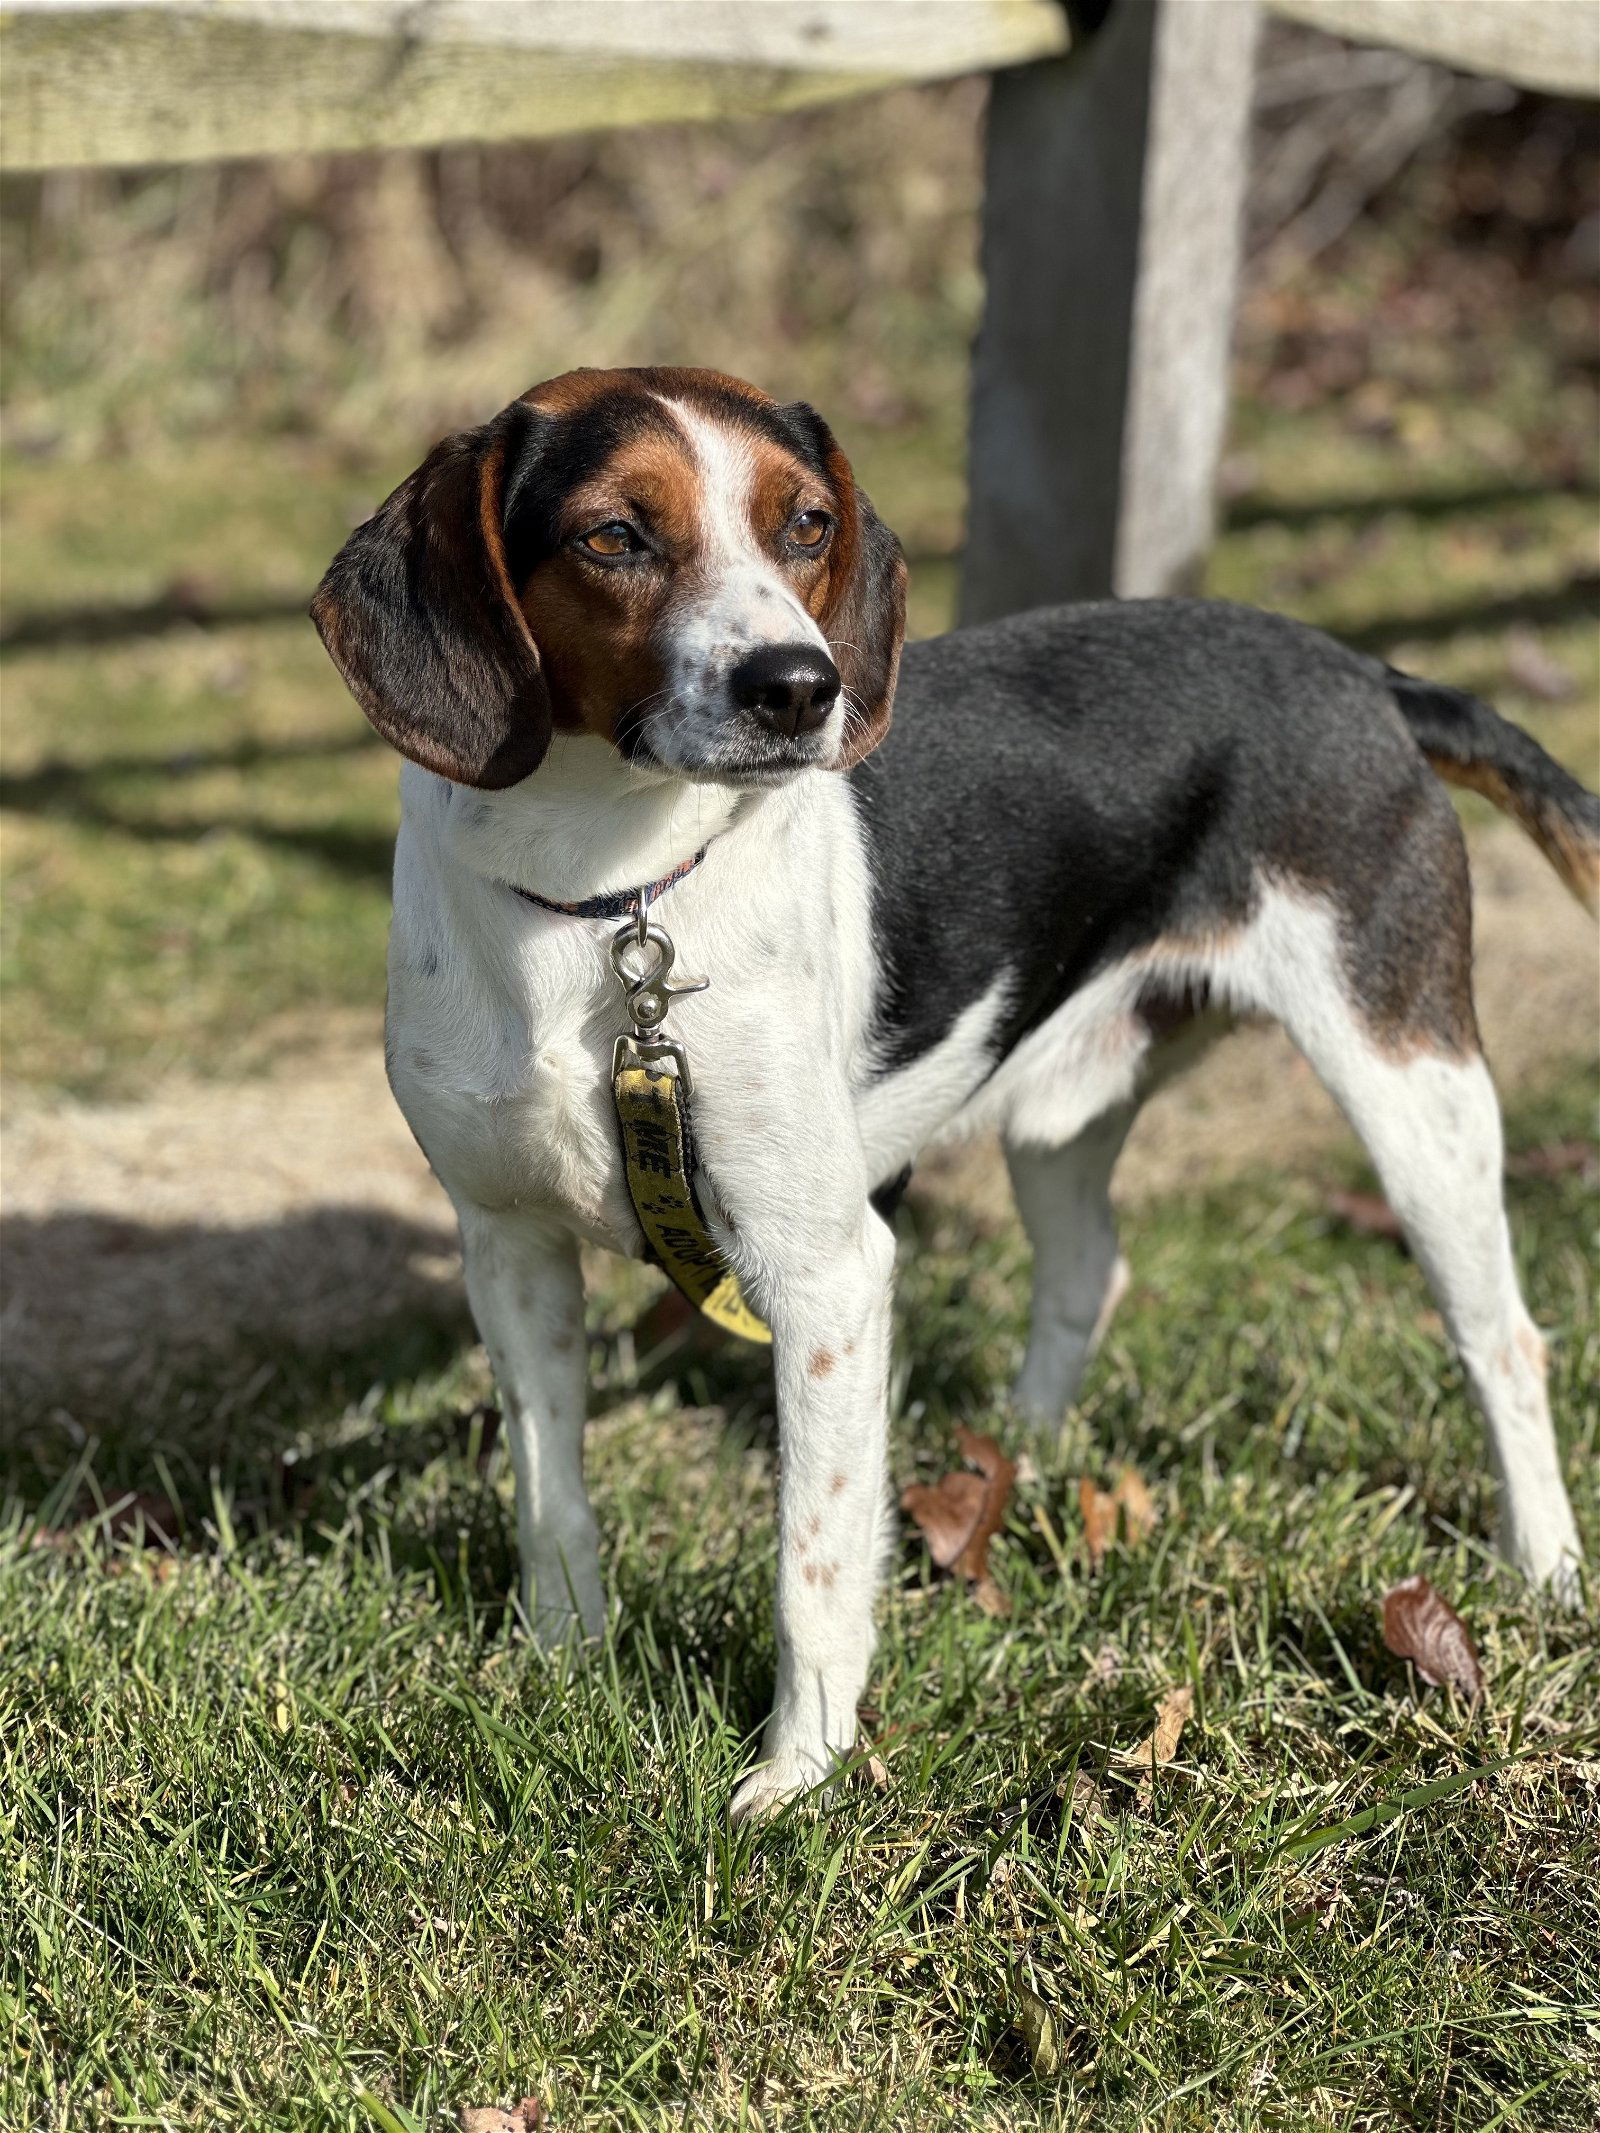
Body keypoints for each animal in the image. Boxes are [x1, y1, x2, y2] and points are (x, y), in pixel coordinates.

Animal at [315, 362, 1600, 1817]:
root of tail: (1365, 672)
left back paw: (1543, 1570)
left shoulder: (825, 1277)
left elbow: (813, 1563)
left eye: (807, 524)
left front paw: (799, 1775)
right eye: (613, 535)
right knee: (1090, 1267)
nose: (800, 688)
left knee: (1502, 1340)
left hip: (1413, 1093)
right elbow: (550, 1497)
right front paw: (561, 1662)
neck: (605, 897)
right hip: (1062, 1109)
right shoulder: (509, 1249)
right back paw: (1017, 1458)